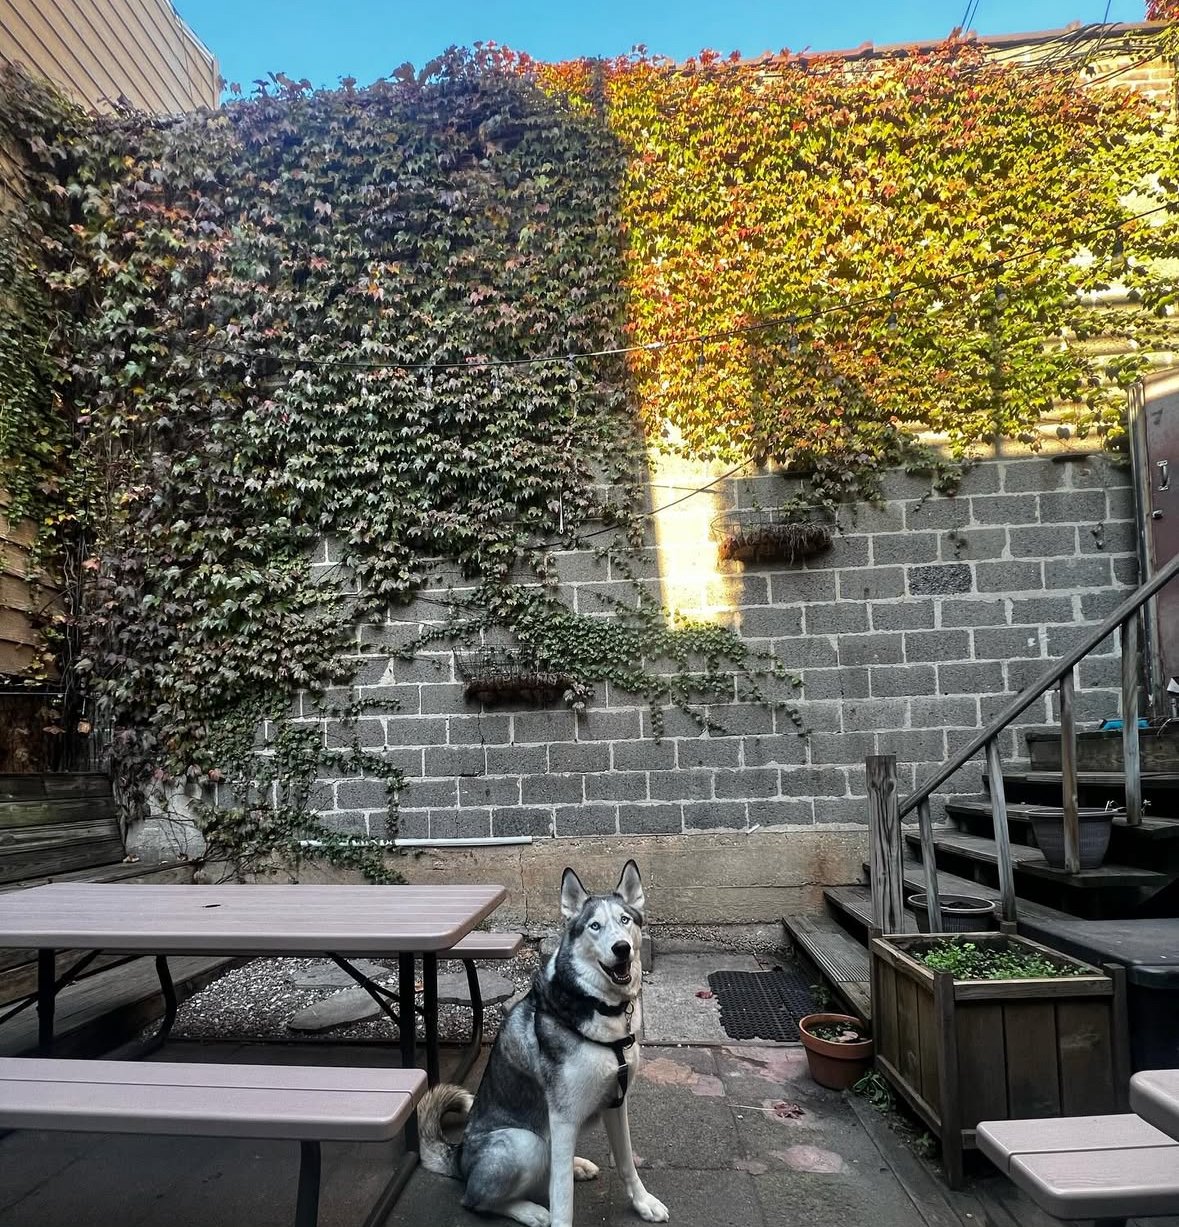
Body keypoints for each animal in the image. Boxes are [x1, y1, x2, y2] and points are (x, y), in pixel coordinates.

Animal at [417, 859, 669, 1227]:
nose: (621, 948)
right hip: (525, 1142)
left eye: (625, 920)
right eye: (594, 926)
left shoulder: (615, 1103)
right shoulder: (562, 1118)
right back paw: (531, 1211)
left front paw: (642, 1202)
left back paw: (577, 1165)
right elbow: (562, 1196)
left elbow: (625, 1162)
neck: (601, 1008)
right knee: (475, 1200)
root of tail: (458, 1156)